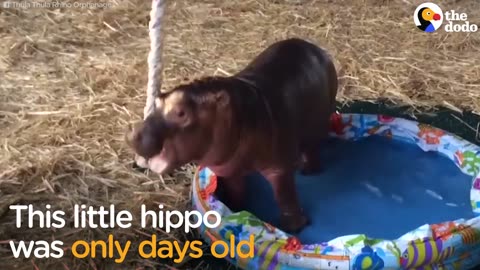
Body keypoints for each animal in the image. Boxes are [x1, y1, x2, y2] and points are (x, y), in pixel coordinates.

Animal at [125, 37, 340, 233]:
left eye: (181, 113)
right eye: (157, 100)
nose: (135, 135)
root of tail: (312, 46)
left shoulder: (278, 167)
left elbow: (285, 196)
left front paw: (294, 228)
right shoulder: (229, 167)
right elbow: (236, 190)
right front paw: (235, 211)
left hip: (318, 123)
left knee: (312, 148)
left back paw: (308, 171)